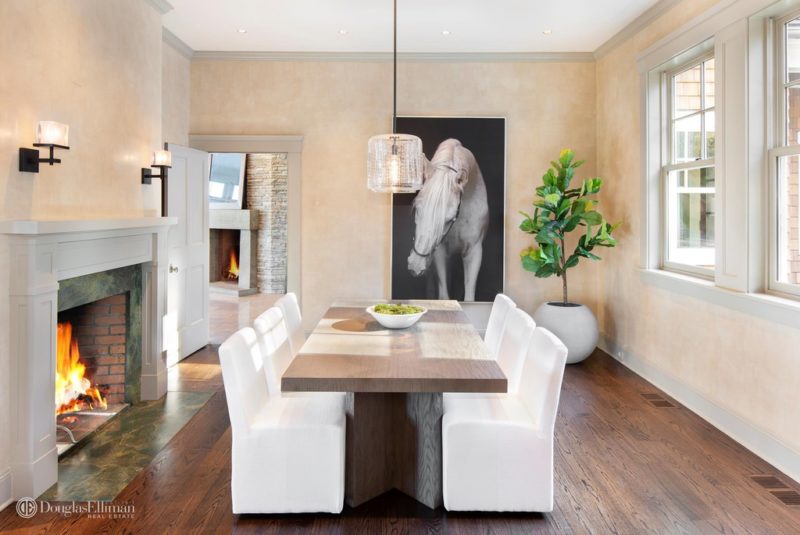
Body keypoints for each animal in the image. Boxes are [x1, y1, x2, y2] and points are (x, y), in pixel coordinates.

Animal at [406, 138, 488, 302]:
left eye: (449, 218)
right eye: (417, 209)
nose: (415, 264)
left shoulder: (474, 252)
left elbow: (469, 297)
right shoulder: (440, 252)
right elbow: (443, 296)